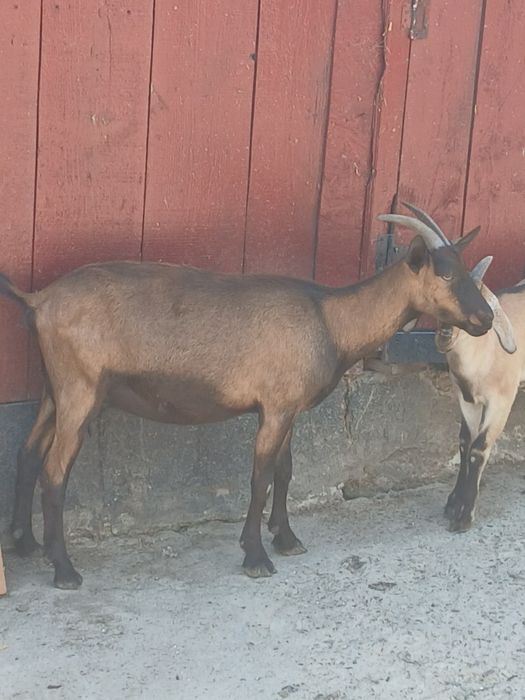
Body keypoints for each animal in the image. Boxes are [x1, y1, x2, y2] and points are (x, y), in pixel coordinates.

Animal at [0, 203, 493, 589]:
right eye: (445, 273)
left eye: (467, 269)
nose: (485, 319)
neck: (331, 320)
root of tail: (39, 299)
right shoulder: (274, 408)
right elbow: (260, 477)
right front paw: (256, 556)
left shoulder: (289, 408)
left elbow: (286, 471)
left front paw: (286, 538)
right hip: (80, 389)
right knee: (55, 471)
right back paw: (64, 570)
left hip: (54, 388)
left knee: (28, 453)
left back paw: (25, 544)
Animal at [437, 256, 521, 531]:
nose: (445, 335)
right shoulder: (466, 400)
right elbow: (465, 441)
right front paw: (454, 502)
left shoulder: (501, 401)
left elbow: (479, 448)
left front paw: (464, 514)